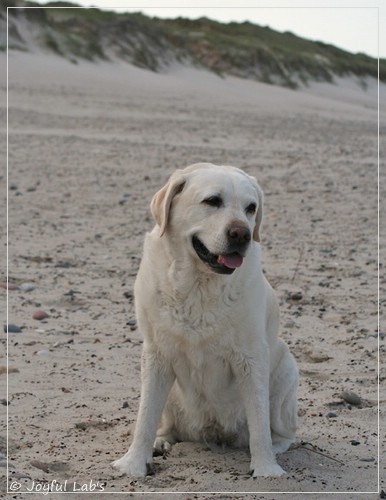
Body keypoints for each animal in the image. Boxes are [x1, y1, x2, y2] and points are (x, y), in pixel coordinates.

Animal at [112, 163, 298, 476]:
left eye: (251, 208)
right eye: (212, 201)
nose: (242, 234)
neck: (198, 284)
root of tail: (212, 432)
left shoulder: (251, 358)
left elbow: (260, 422)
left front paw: (266, 469)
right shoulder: (156, 354)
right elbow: (145, 416)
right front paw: (134, 463)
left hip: (287, 367)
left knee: (282, 432)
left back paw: (276, 449)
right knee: (167, 424)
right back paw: (161, 442)